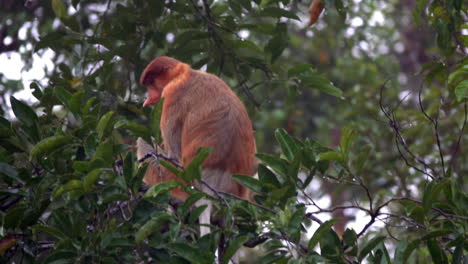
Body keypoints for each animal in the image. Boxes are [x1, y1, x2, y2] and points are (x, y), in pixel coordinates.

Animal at [137, 56, 256, 238]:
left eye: (151, 83)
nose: (148, 97)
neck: (185, 74)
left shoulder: (171, 94)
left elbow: (173, 156)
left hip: (179, 184)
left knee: (145, 146)